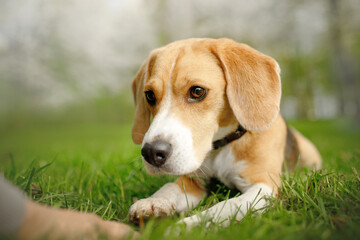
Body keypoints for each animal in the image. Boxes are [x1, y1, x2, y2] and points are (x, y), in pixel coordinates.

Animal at [128, 38, 322, 228]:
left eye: (197, 91)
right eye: (149, 95)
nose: (151, 153)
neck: (221, 147)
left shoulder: (263, 187)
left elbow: (224, 206)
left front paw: (187, 226)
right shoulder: (194, 182)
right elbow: (169, 187)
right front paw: (153, 202)